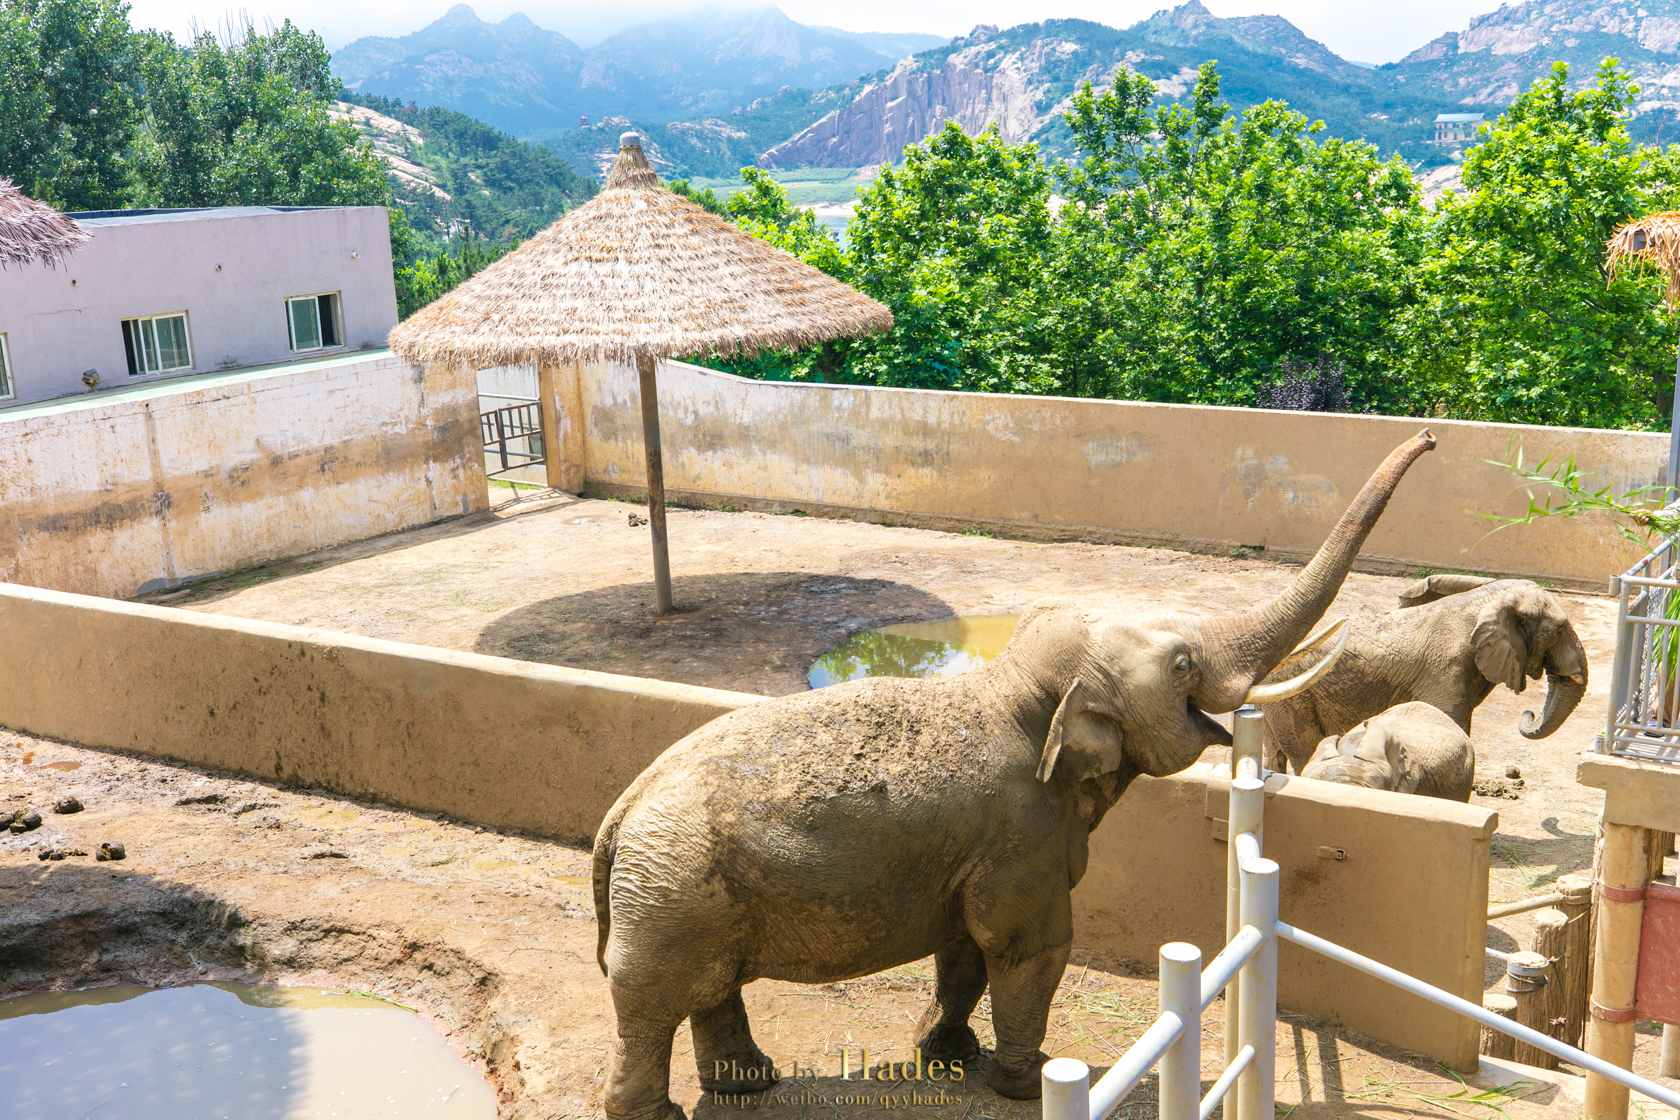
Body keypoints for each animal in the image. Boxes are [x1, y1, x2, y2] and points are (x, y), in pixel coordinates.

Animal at [588, 433, 1431, 1120]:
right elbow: (1029, 944)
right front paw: (1025, 1082)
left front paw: (946, 1055)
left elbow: (965, 944)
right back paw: (658, 1114)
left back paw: (748, 1086)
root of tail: (618, 815)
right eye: (1184, 665)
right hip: (673, 893)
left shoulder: (972, 849)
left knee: (709, 988)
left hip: (690, 896)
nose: (1428, 433)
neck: (1017, 689)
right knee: (652, 1005)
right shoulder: (1020, 831)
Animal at [1263, 574, 1585, 775]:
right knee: (1303, 748)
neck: (1484, 598)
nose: (1528, 713)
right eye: (1558, 630)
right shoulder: (1446, 672)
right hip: (1295, 692)